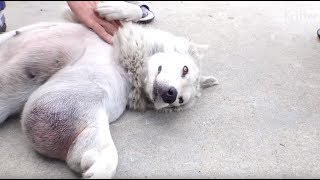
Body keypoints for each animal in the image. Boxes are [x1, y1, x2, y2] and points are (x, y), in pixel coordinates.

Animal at [0, 1, 218, 179]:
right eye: (185, 69)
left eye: (181, 101)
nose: (171, 95)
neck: (128, 63)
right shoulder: (76, 17)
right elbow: (123, 15)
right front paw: (115, 8)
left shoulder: (72, 96)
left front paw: (100, 164)